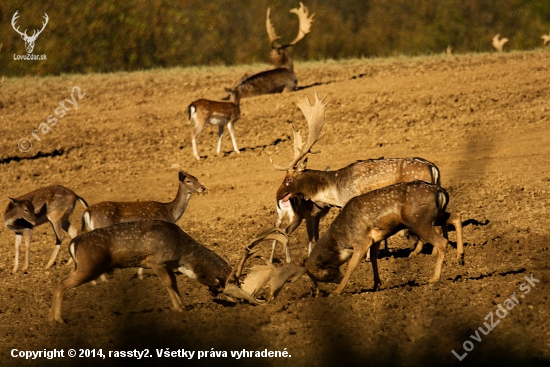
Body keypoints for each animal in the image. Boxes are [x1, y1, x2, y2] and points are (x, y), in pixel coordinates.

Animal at [51, 220, 276, 324]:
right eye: (228, 289)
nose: (240, 302)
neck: (181, 253)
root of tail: (73, 243)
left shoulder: (169, 265)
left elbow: (174, 283)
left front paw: (183, 306)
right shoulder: (155, 261)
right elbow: (168, 283)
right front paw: (178, 309)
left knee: (59, 282)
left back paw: (52, 318)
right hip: (88, 267)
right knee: (61, 282)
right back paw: (59, 319)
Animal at [306, 181, 462, 296]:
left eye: (323, 275)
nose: (316, 293)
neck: (343, 238)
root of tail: (441, 192)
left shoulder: (361, 241)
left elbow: (352, 265)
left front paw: (336, 292)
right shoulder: (375, 240)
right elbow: (373, 258)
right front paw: (376, 285)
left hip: (418, 222)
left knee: (442, 241)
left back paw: (434, 278)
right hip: (434, 217)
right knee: (456, 216)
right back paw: (460, 257)